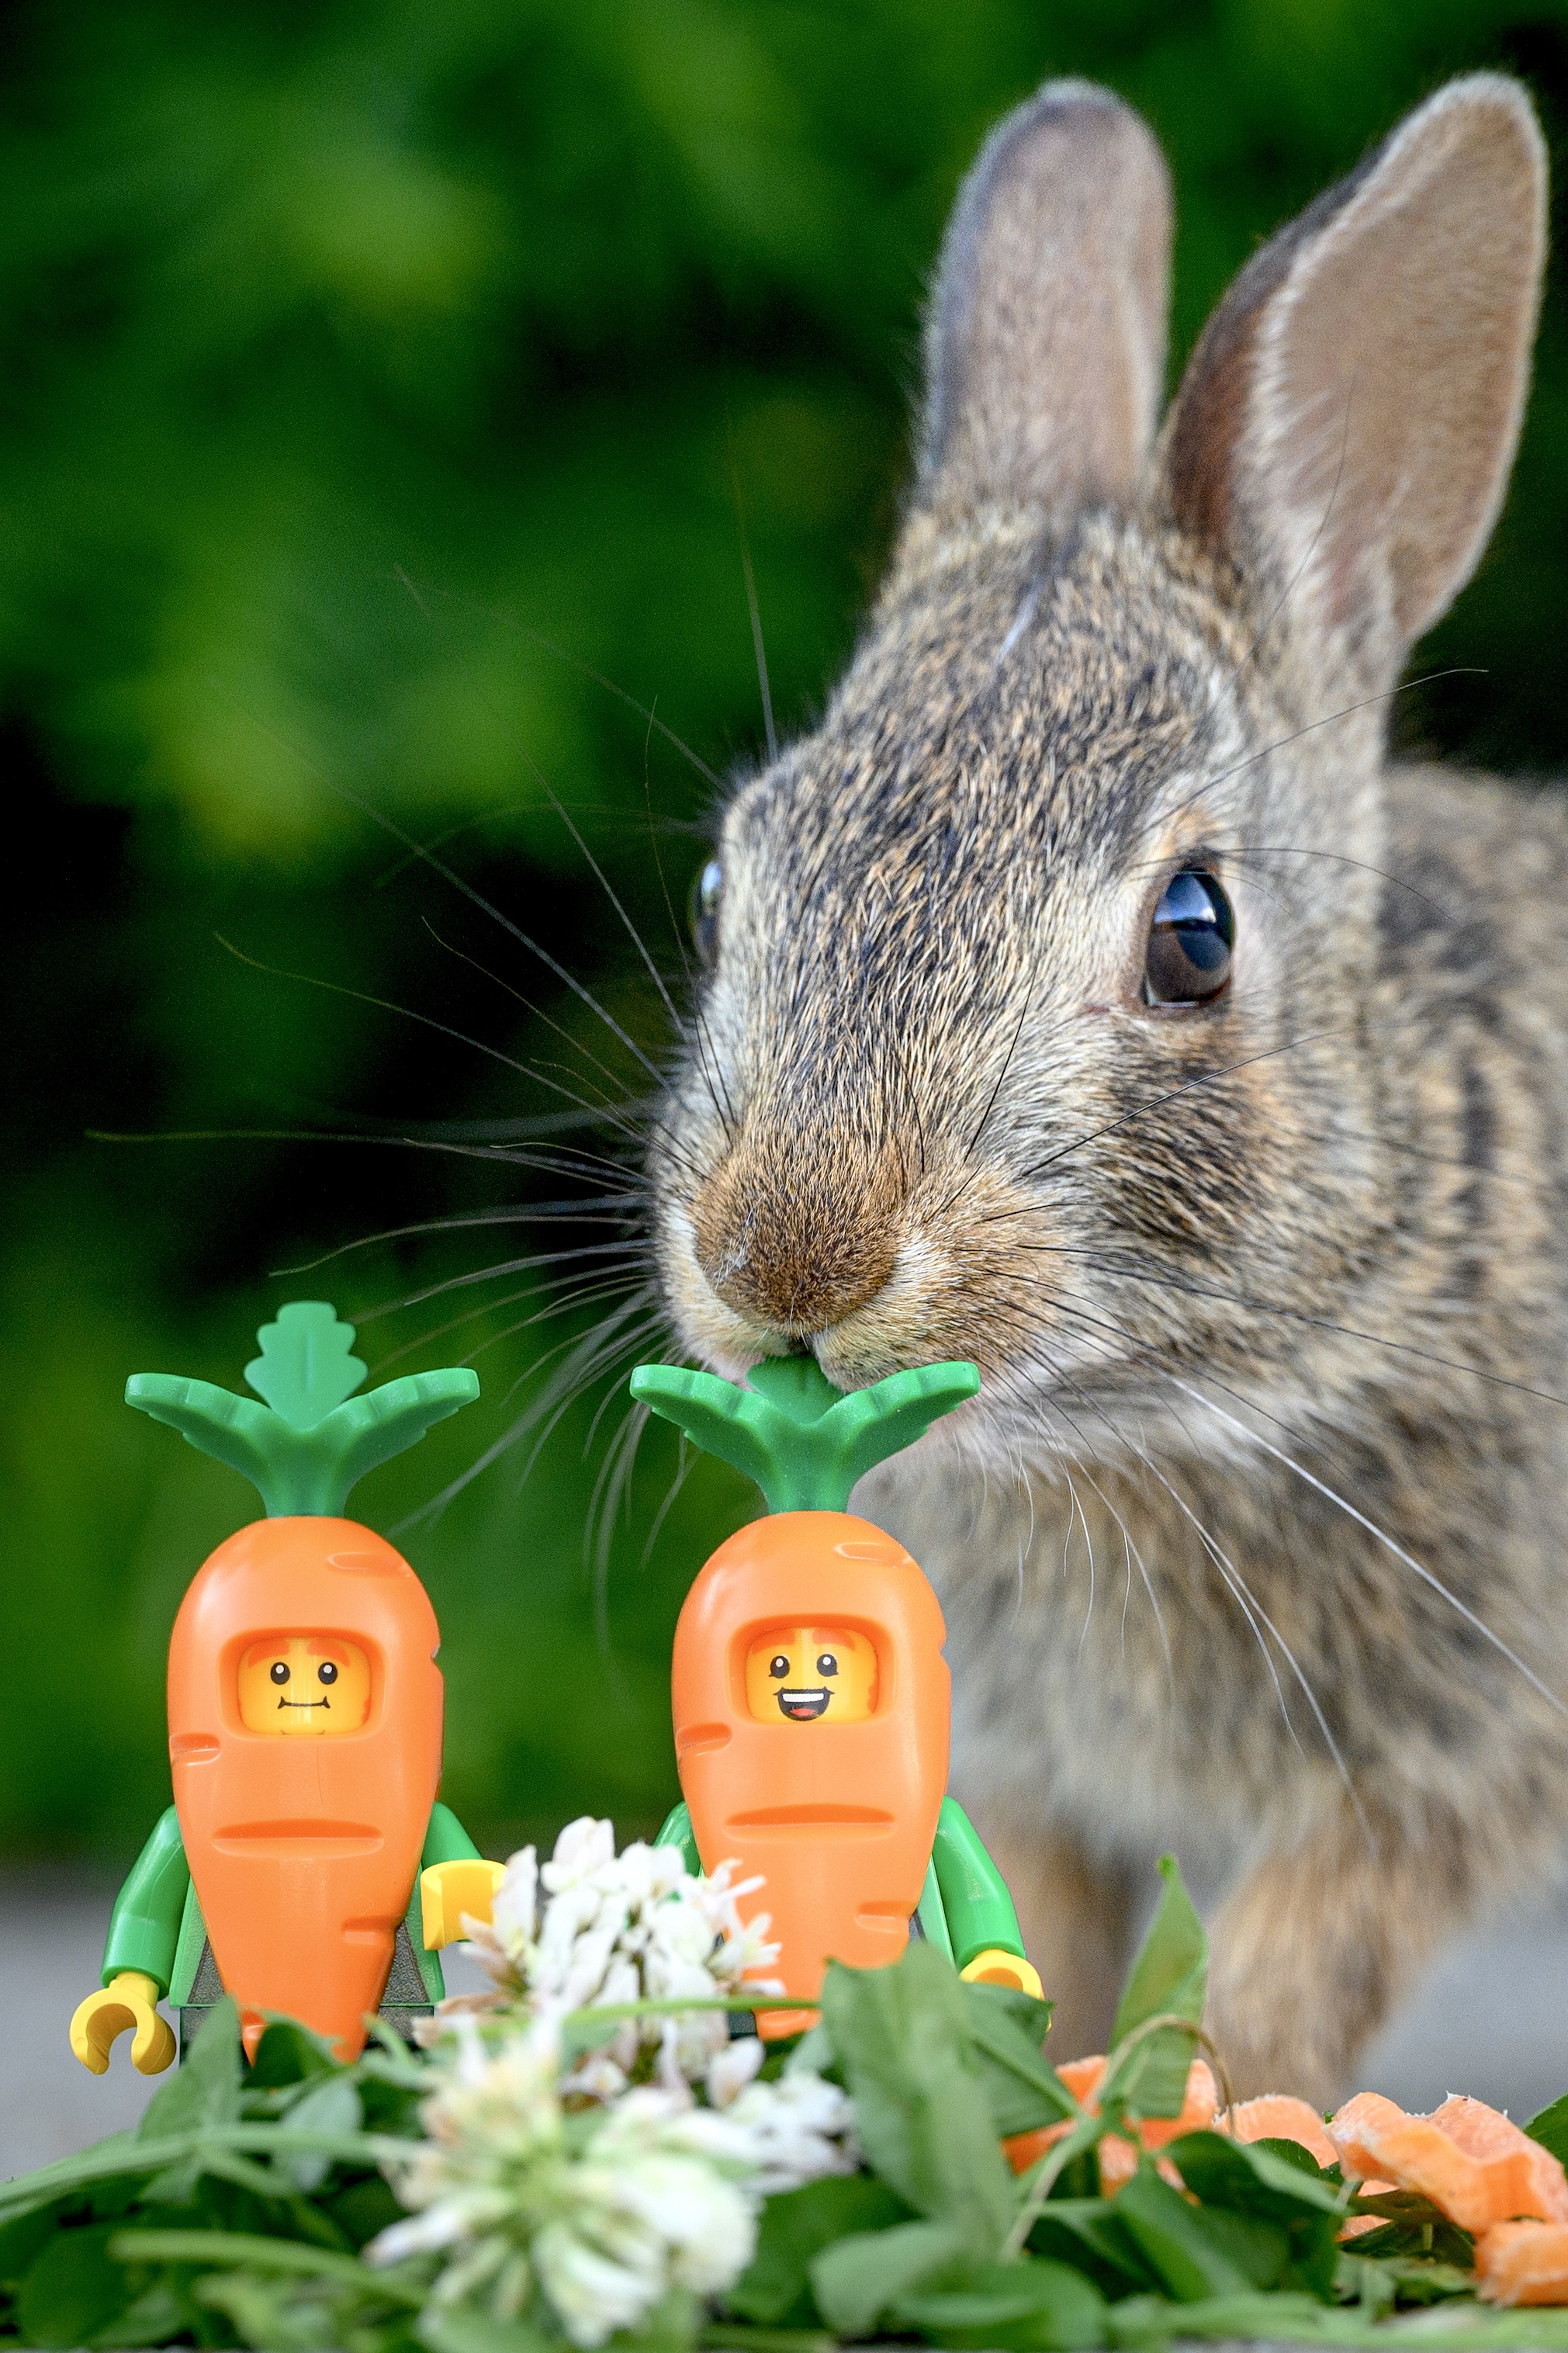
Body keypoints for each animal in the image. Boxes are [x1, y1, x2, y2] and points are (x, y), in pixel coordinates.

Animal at [644, 69, 1568, 2106]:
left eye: (1192, 936)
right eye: (727, 880)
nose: (787, 1262)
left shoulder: (1428, 1768)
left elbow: (1270, 1999)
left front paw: (1206, 2135)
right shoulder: (1024, 1776)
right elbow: (1034, 1962)